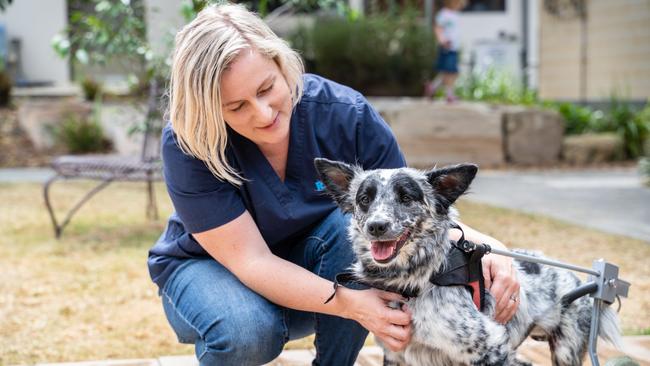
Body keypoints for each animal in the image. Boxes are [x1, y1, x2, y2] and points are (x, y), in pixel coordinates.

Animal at [316, 159, 624, 366]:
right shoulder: (397, 354)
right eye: (364, 199)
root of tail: (582, 278)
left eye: (406, 197)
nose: (376, 226)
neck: (414, 282)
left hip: (565, 351)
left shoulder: (492, 348)